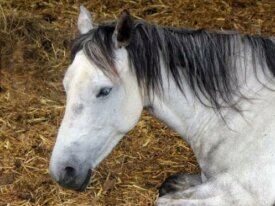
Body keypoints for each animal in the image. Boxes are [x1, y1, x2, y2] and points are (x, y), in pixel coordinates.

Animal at [49, 5, 275, 205]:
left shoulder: (240, 191)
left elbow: (163, 201)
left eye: (104, 91)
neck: (242, 119)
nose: (63, 171)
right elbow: (169, 184)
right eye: (66, 86)